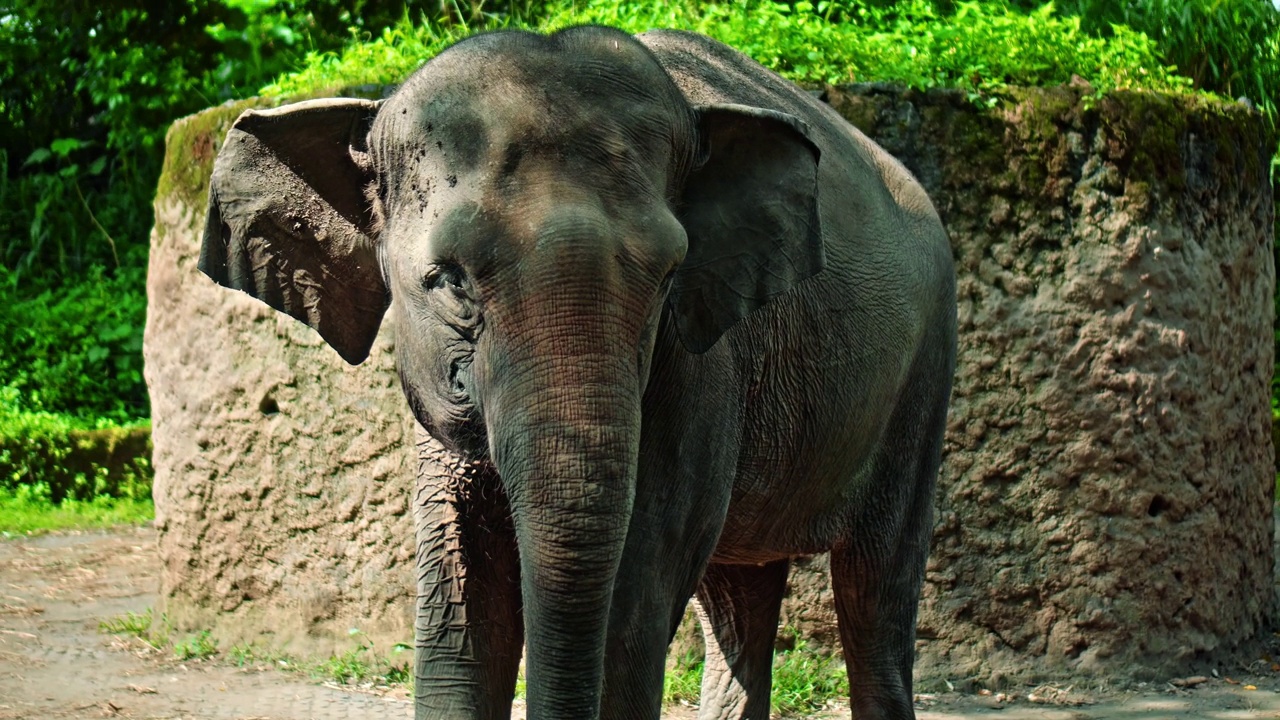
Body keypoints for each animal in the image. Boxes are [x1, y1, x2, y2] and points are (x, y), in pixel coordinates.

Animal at [199, 23, 957, 717]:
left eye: (669, 276)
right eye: (447, 280)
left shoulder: (700, 373)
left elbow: (635, 598)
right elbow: (461, 599)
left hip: (926, 375)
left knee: (875, 588)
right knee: (739, 593)